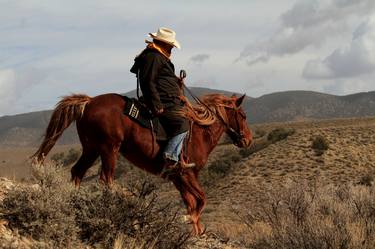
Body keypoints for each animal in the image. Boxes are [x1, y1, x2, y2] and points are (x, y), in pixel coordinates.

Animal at [33, 92, 254, 234]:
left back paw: (75, 201)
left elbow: (191, 203)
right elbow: (201, 200)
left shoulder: (177, 178)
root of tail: (89, 102)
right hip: (109, 149)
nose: (248, 140)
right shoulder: (187, 174)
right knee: (106, 179)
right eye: (243, 115)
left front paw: (196, 231)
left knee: (77, 172)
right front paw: (188, 221)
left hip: (92, 150)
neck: (200, 132)